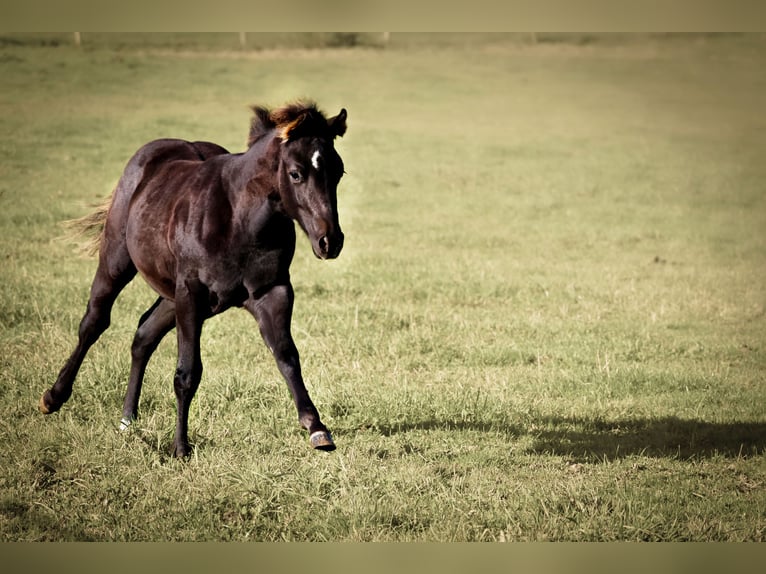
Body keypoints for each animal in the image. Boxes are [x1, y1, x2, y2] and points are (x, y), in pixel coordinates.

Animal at [39, 101, 348, 457]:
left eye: (339, 171)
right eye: (296, 173)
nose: (330, 241)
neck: (239, 220)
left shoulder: (273, 291)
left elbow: (287, 356)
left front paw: (317, 428)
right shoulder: (191, 293)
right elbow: (187, 372)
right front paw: (180, 447)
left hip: (175, 296)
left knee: (144, 334)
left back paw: (127, 419)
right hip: (119, 263)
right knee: (94, 322)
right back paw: (53, 397)